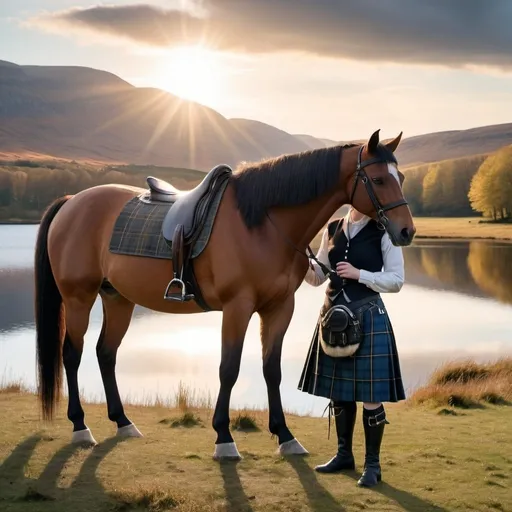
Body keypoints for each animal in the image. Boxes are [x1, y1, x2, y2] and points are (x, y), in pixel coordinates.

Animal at [33, 128, 416, 460]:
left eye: (401, 177)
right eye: (378, 179)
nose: (406, 231)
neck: (262, 222)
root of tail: (72, 202)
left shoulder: (279, 308)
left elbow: (271, 369)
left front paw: (285, 435)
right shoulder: (237, 307)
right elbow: (228, 369)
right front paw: (224, 438)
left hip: (117, 298)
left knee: (106, 353)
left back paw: (123, 422)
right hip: (79, 298)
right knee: (72, 354)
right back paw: (80, 427)